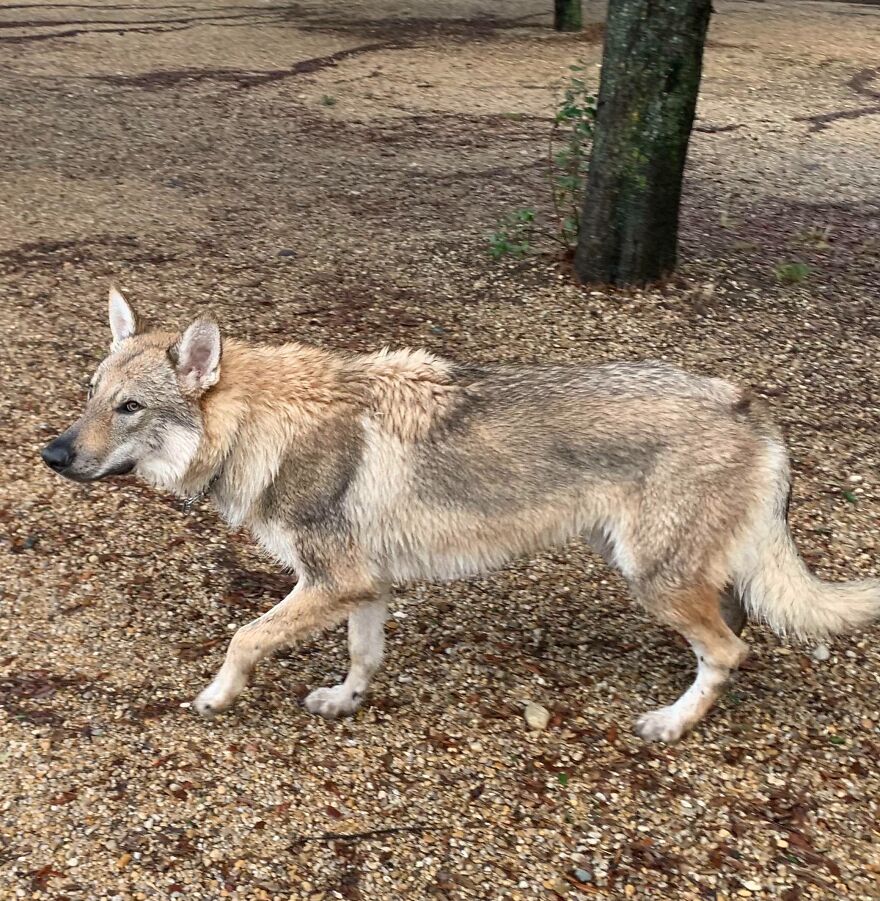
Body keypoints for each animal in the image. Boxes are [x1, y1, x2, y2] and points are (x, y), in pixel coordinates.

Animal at [40, 287, 880, 742]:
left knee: (733, 648)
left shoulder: (328, 583)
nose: (51, 453)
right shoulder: (363, 587)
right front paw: (346, 700)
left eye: (129, 407)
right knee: (732, 634)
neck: (263, 427)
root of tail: (750, 405)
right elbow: (364, 655)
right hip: (668, 572)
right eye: (90, 394)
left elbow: (243, 637)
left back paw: (671, 720)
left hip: (653, 576)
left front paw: (218, 695)